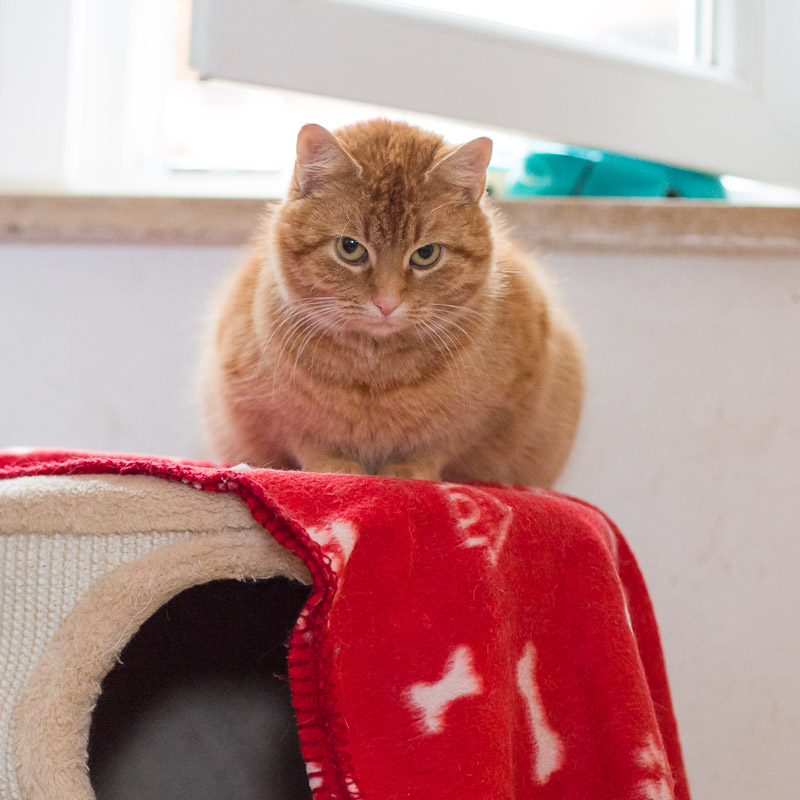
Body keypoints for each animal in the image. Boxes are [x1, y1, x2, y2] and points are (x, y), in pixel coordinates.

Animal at [203, 118, 584, 482]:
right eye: (350, 248)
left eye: (426, 254)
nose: (386, 303)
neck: (376, 373)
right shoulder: (263, 409)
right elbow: (309, 440)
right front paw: (334, 467)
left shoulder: (493, 414)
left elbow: (436, 444)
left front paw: (407, 472)